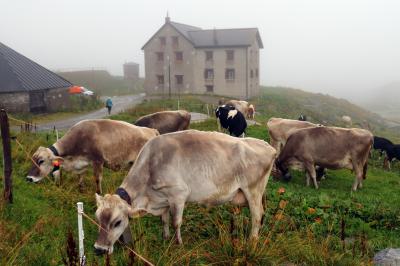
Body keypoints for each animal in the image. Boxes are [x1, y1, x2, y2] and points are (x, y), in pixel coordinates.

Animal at [24, 119, 159, 193]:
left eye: (41, 161)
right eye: (32, 159)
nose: (29, 178)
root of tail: (152, 131)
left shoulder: (98, 161)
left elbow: (97, 180)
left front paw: (98, 195)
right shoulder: (81, 164)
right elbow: (80, 178)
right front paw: (81, 190)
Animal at [94, 130, 276, 255]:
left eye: (117, 222)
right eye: (97, 218)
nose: (99, 249)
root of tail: (268, 146)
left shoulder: (178, 195)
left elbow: (176, 222)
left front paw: (179, 243)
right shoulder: (164, 198)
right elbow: (164, 220)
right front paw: (165, 237)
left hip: (253, 191)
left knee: (257, 216)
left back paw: (252, 242)